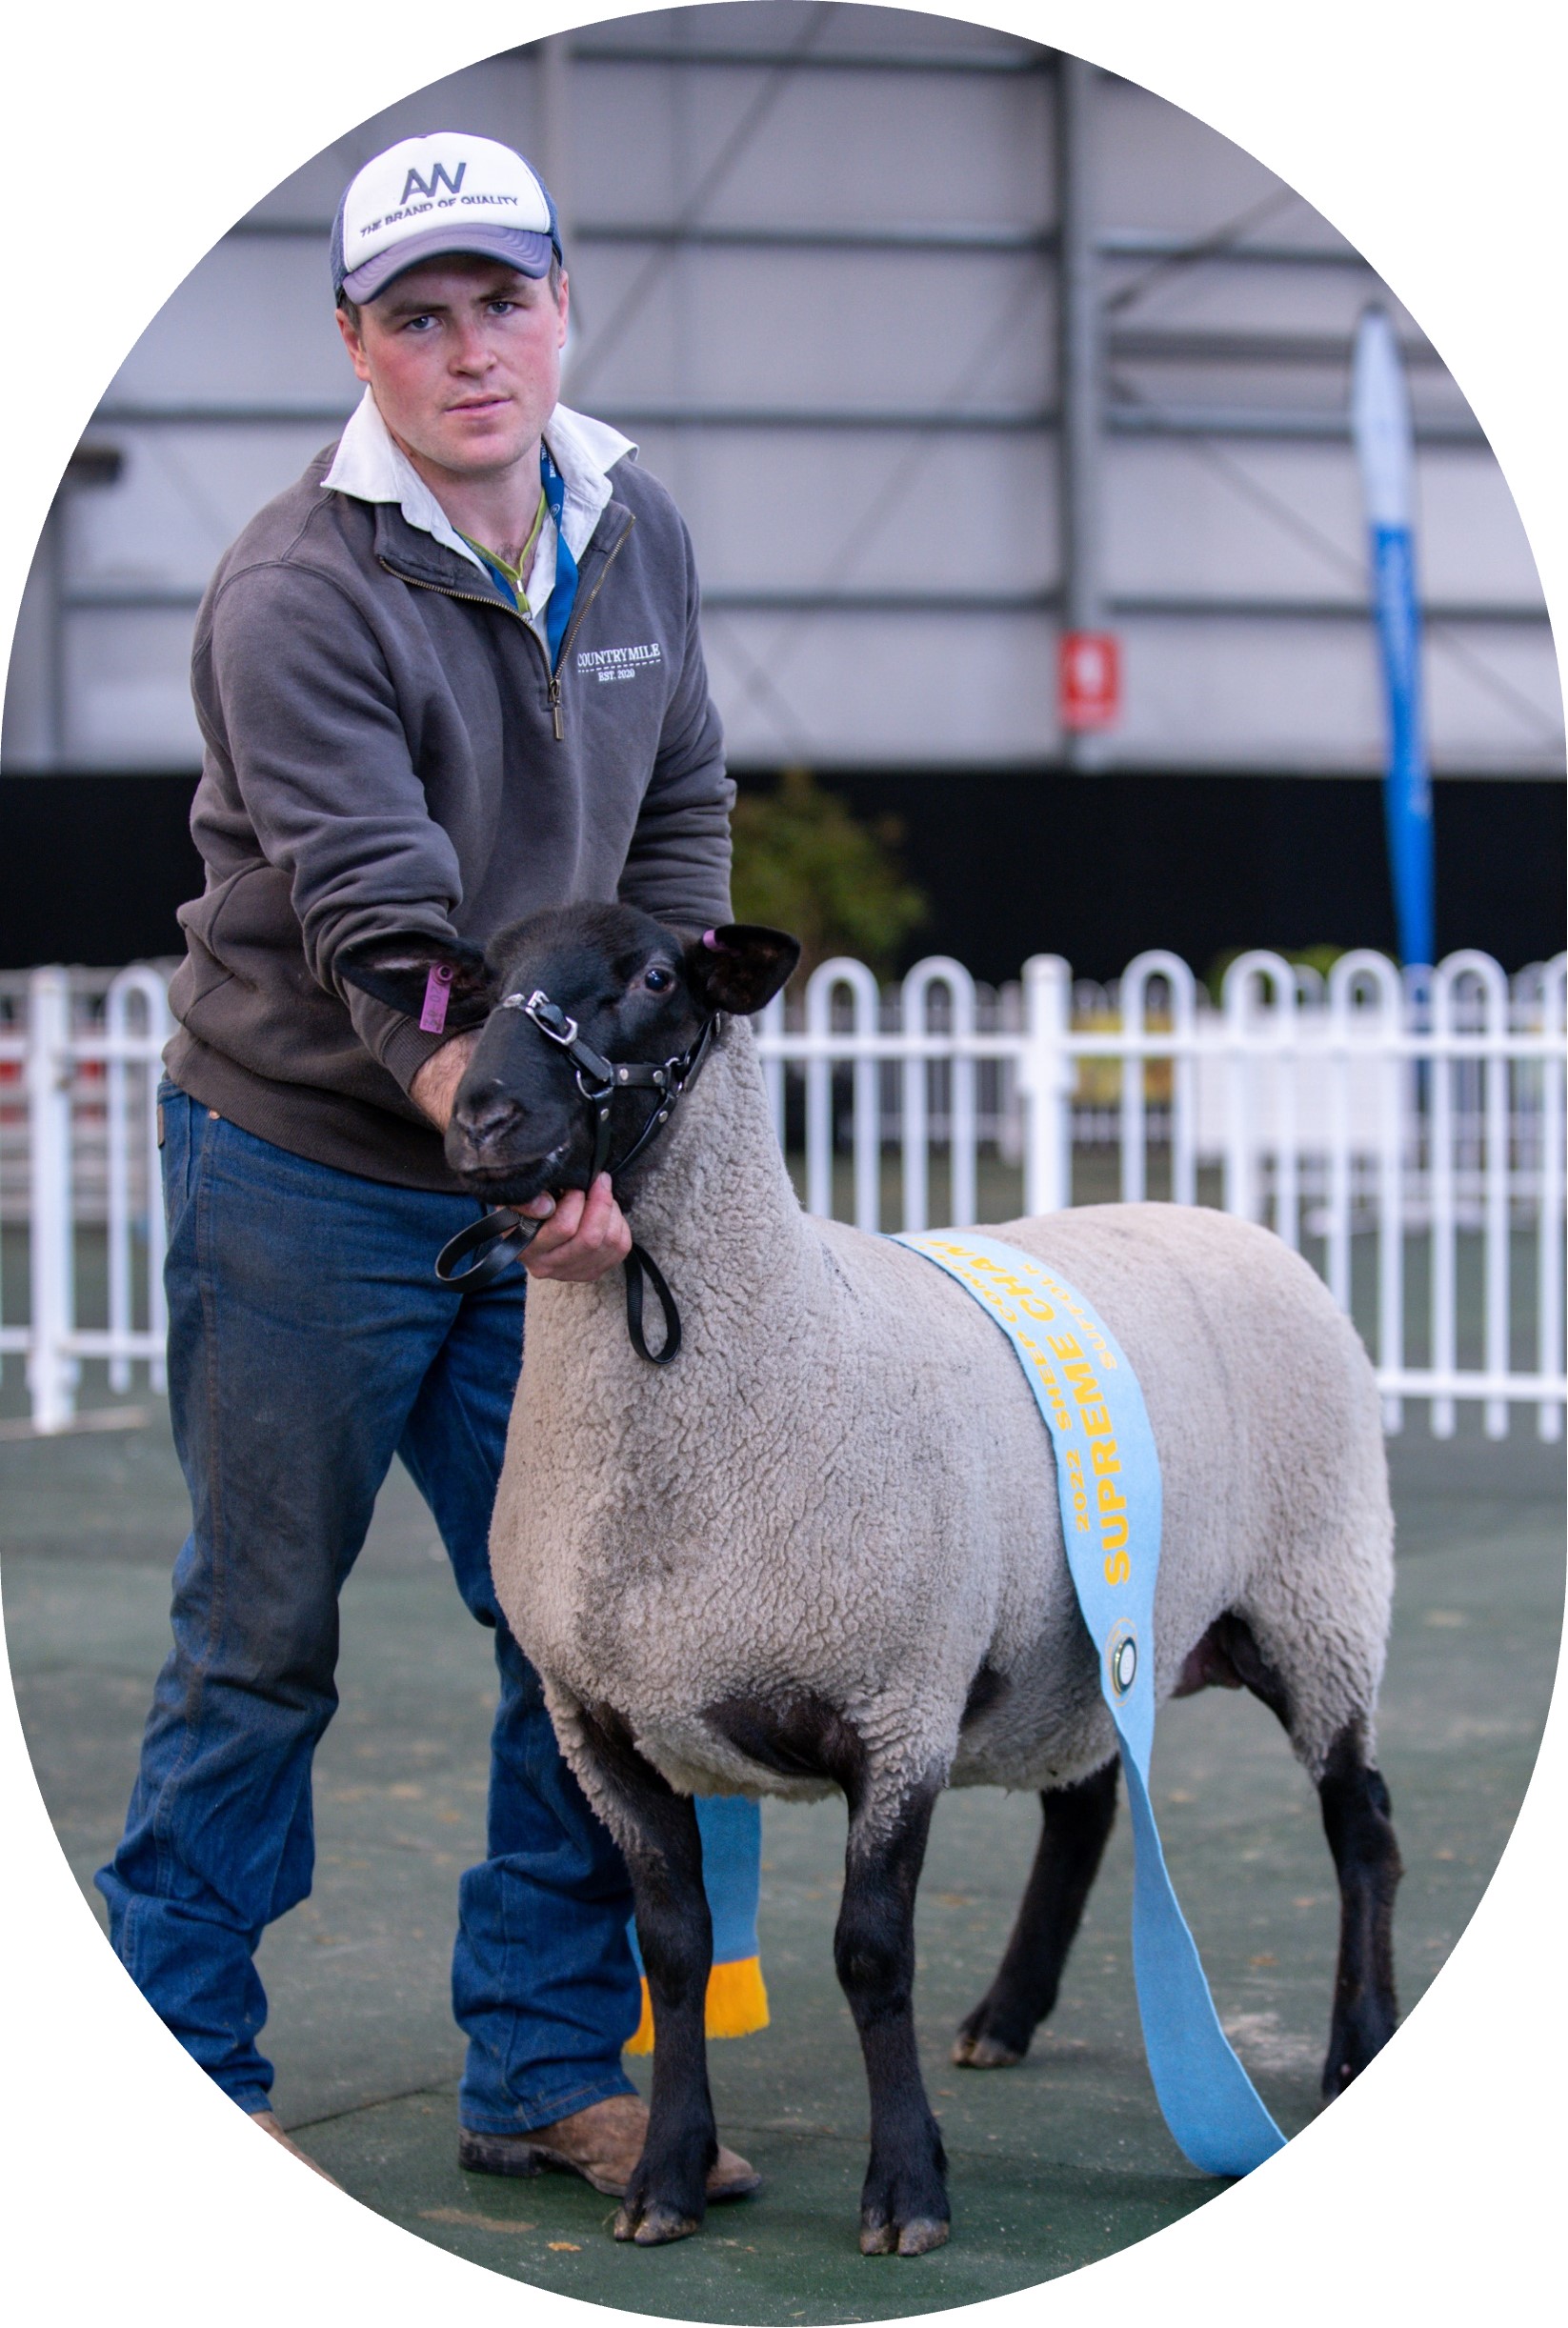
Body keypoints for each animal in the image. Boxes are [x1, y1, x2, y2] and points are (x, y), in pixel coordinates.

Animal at [349, 903, 1397, 2253]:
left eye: (653, 973)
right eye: (475, 988)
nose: (481, 1118)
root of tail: (1240, 1222)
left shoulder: (895, 1704)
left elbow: (868, 1954)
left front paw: (905, 2191)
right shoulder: (603, 1724)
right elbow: (673, 1953)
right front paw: (666, 2177)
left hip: (1316, 1592)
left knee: (1359, 1822)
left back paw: (1354, 2042)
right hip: (1076, 1645)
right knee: (1085, 1809)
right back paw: (1004, 2016)